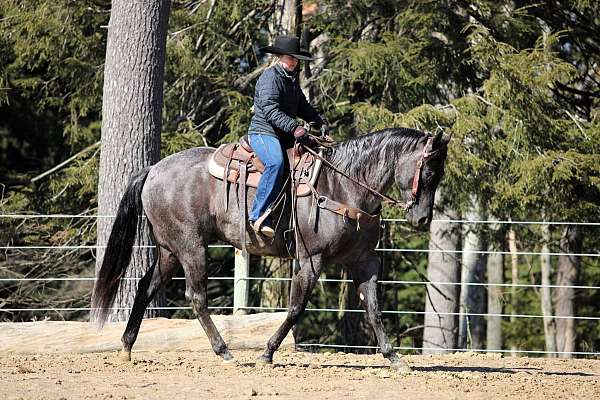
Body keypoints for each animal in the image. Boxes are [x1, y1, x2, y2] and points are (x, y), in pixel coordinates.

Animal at [92, 127, 450, 372]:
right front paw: (266, 353)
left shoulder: (364, 262)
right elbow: (295, 309)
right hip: (191, 246)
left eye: (440, 175)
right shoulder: (310, 260)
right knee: (197, 297)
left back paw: (126, 348)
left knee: (145, 287)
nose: (422, 219)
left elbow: (374, 310)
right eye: (429, 171)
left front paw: (394, 357)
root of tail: (153, 169)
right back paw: (224, 351)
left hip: (169, 251)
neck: (343, 186)